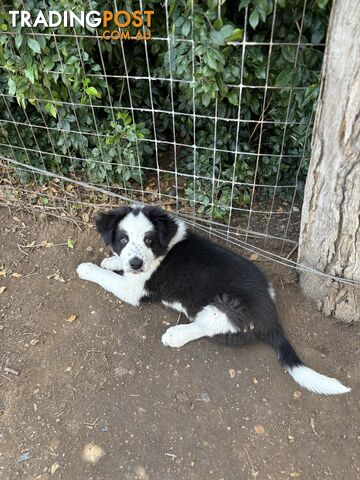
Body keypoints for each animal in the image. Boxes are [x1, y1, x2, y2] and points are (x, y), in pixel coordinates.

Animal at [76, 204, 352, 396]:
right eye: (123, 239)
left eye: (148, 240)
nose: (135, 263)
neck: (163, 248)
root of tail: (271, 316)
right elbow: (114, 265)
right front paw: (112, 260)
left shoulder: (133, 289)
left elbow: (107, 278)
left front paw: (88, 268)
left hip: (224, 308)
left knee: (203, 326)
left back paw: (175, 335)